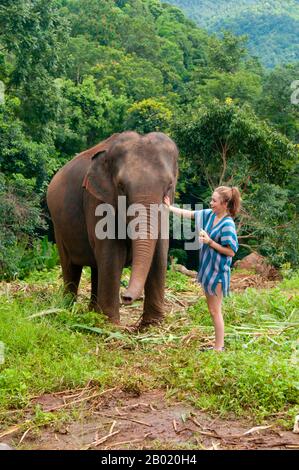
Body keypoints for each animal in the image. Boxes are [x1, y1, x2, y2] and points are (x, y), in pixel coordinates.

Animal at [46, 129, 178, 326]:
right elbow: (112, 253)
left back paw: (93, 312)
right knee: (70, 266)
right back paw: (67, 309)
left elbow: (159, 252)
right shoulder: (96, 199)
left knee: (96, 267)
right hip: (59, 227)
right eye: (121, 186)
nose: (126, 298)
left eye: (169, 185)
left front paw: (152, 325)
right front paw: (111, 325)